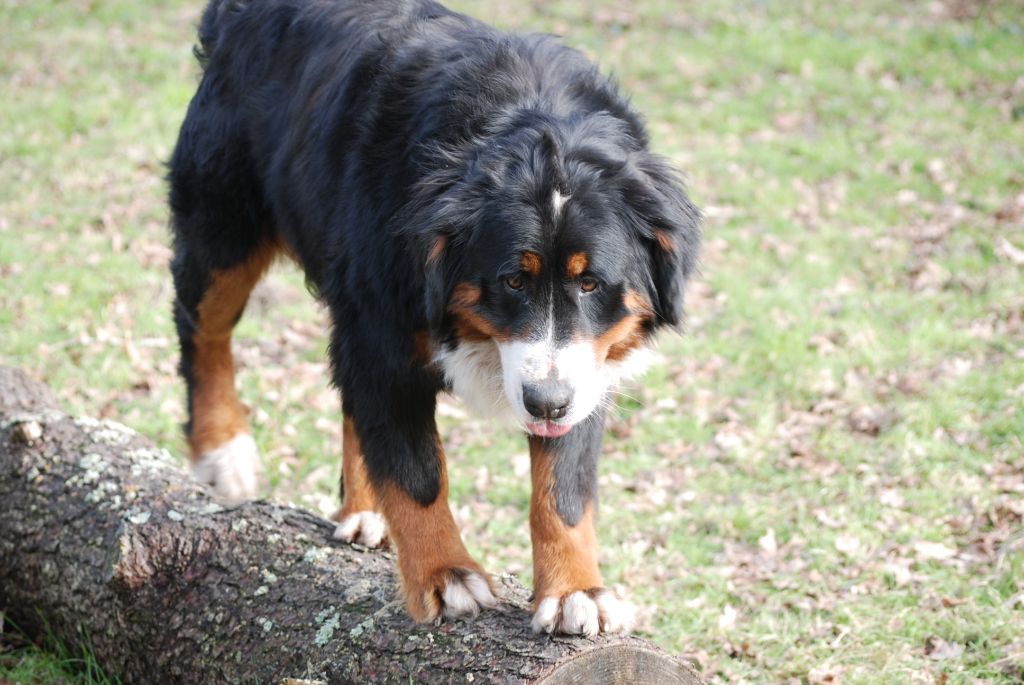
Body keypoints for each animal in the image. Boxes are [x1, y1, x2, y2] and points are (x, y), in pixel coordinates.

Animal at [168, 0, 700, 636]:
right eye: (513, 280)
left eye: (590, 282)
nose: (545, 404)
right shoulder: (385, 323)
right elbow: (416, 470)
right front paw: (446, 577)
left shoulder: (586, 364)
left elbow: (564, 486)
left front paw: (577, 591)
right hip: (225, 222)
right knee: (205, 329)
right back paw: (224, 451)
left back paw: (364, 511)